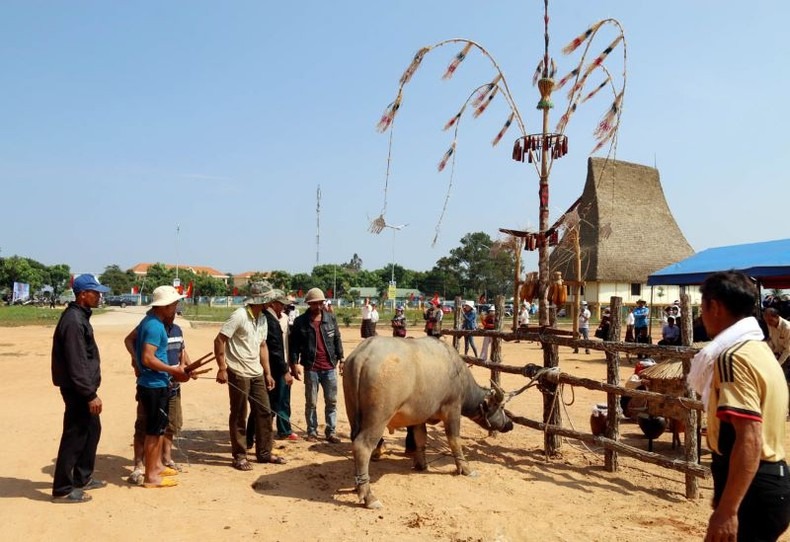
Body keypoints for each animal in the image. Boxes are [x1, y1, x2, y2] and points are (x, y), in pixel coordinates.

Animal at [344, 336, 516, 510]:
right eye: (502, 406)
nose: (509, 424)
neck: (458, 375)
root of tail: (363, 355)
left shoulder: (418, 416)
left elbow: (420, 438)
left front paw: (421, 464)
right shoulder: (452, 409)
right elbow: (454, 440)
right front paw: (466, 468)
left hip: (353, 415)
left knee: (354, 442)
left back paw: (357, 485)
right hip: (379, 418)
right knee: (362, 446)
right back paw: (369, 497)